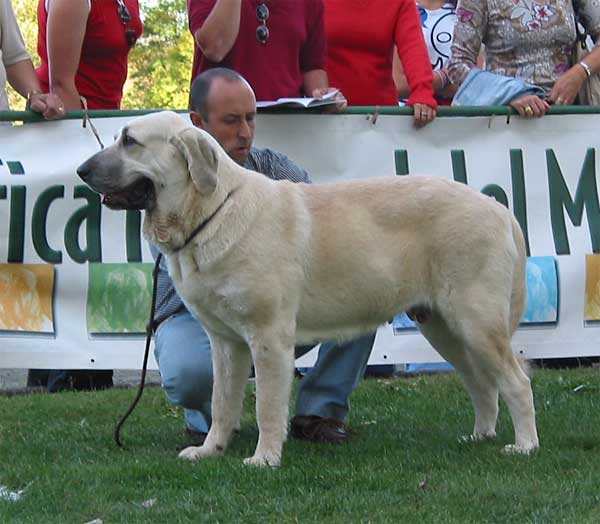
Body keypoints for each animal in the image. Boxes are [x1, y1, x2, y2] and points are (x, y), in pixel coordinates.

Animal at [76, 110, 540, 466]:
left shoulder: (267, 338)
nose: (81, 170)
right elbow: (222, 404)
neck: (212, 210)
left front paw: (264, 458)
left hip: (475, 322)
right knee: (482, 384)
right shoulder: (225, 343)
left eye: (130, 141)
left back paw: (524, 446)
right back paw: (479, 436)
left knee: (516, 381)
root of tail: (497, 207)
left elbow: (266, 405)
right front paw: (210, 450)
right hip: (444, 328)